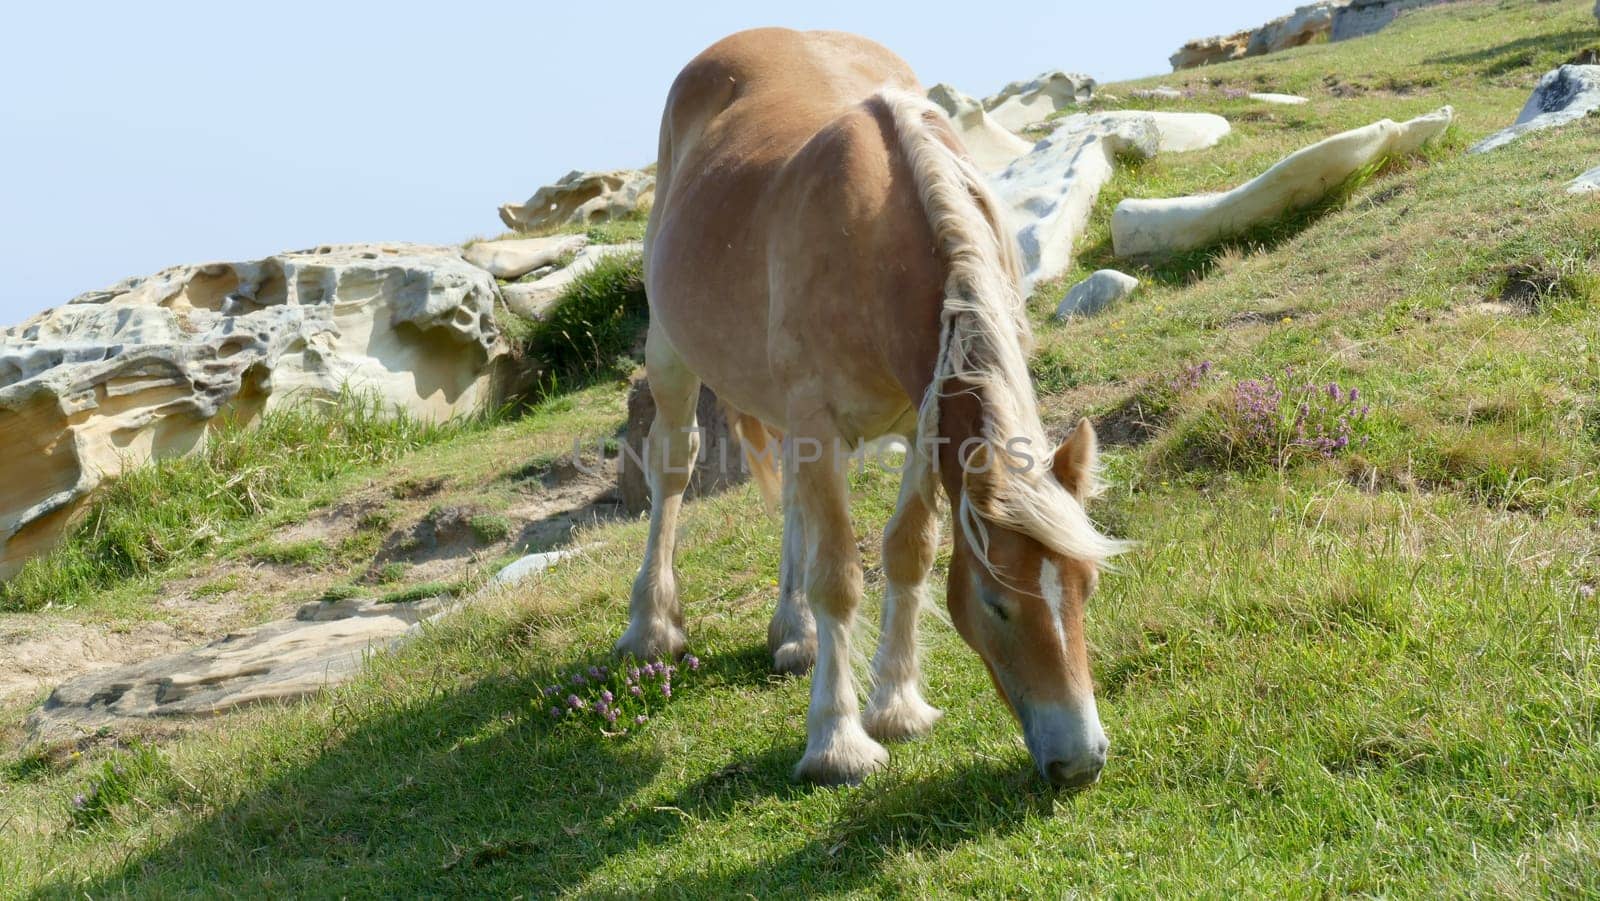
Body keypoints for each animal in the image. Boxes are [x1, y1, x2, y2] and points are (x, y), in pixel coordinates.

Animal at [617, 28, 1120, 790]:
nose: (1081, 760)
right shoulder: (819, 427)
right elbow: (839, 579)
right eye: (999, 603)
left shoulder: (922, 423)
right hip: (672, 355)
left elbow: (908, 552)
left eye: (1086, 586)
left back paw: (792, 632)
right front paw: (838, 741)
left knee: (792, 505)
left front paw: (898, 705)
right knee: (673, 471)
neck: (876, 235)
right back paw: (651, 627)